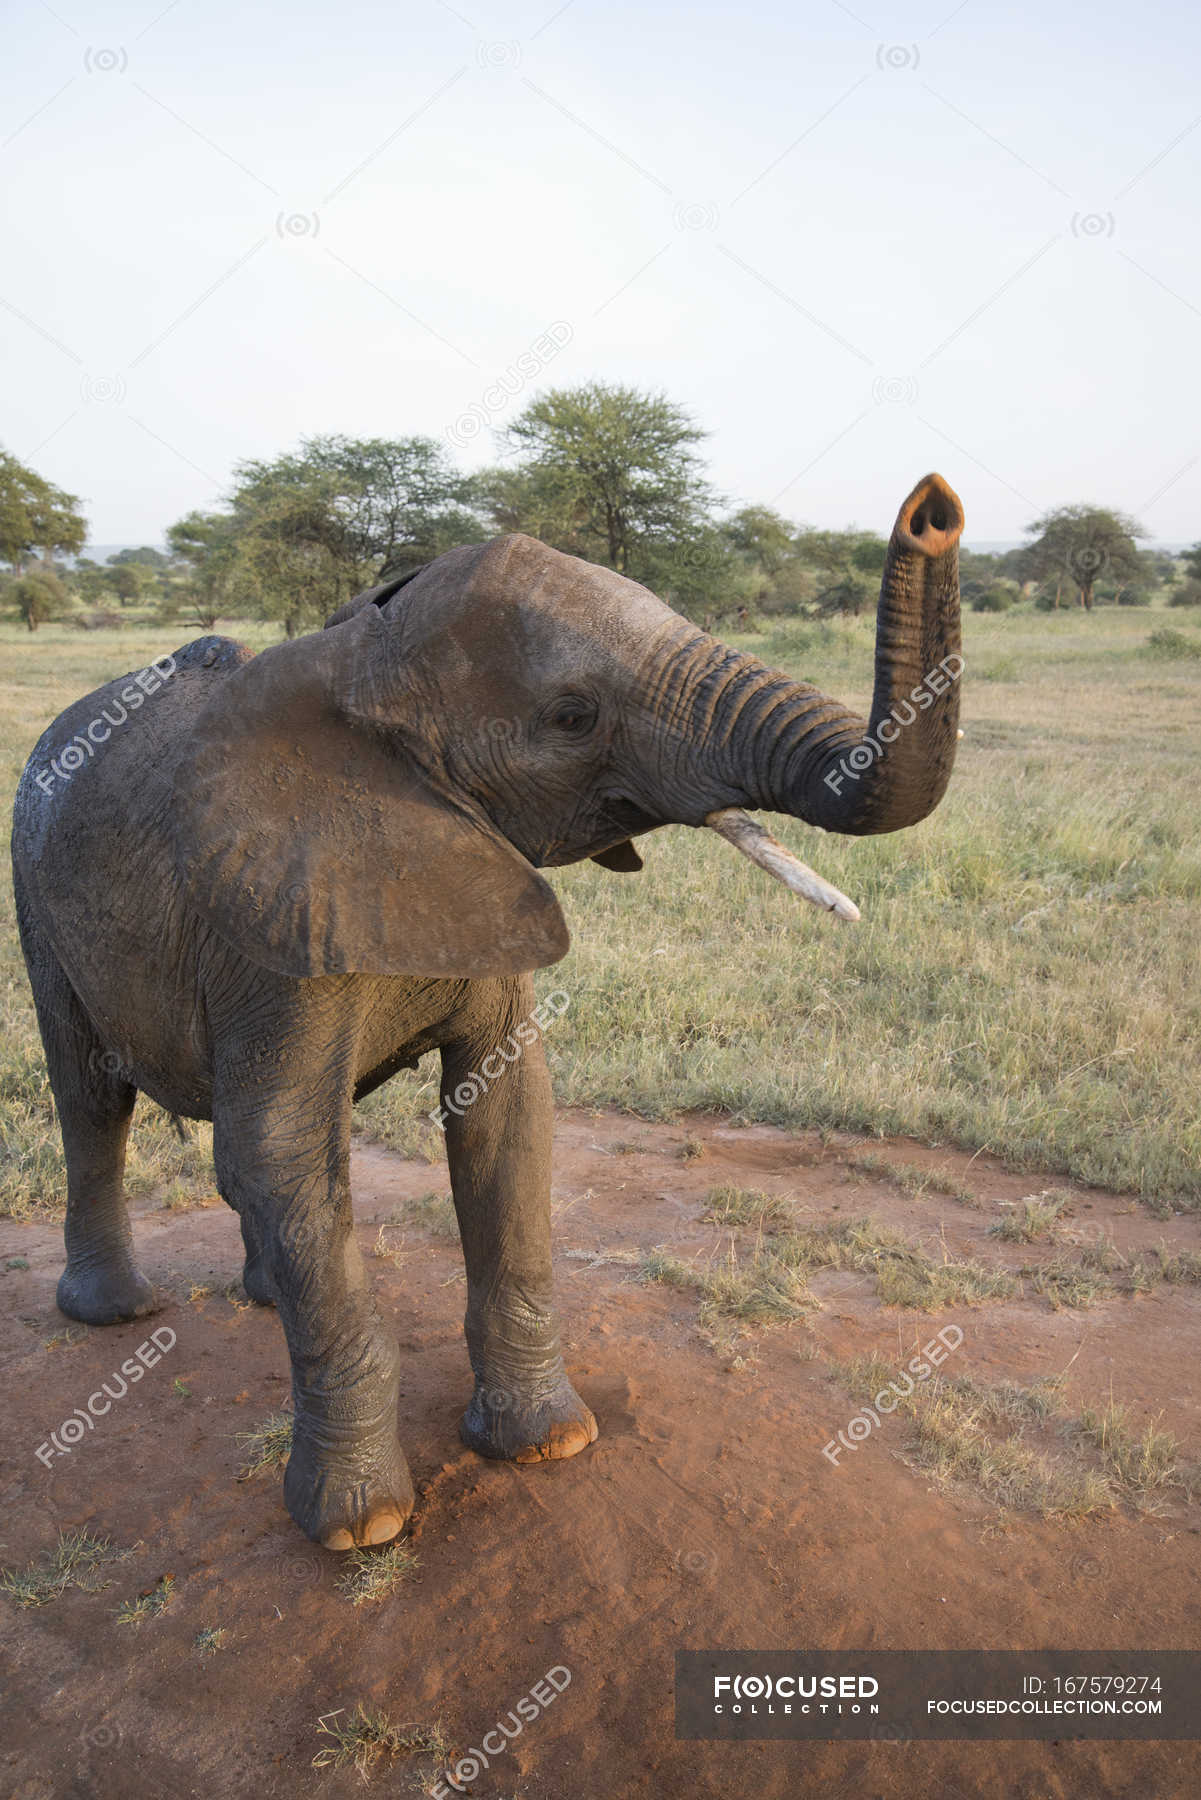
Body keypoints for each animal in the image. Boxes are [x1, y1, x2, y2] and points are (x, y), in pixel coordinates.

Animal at [11, 472, 963, 1550]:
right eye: (572, 716)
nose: (933, 509)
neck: (361, 668)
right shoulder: (268, 926)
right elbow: (279, 1152)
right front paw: (360, 1528)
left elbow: (505, 1124)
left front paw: (547, 1445)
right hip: (38, 895)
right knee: (94, 1100)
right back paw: (114, 1315)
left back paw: (258, 1297)